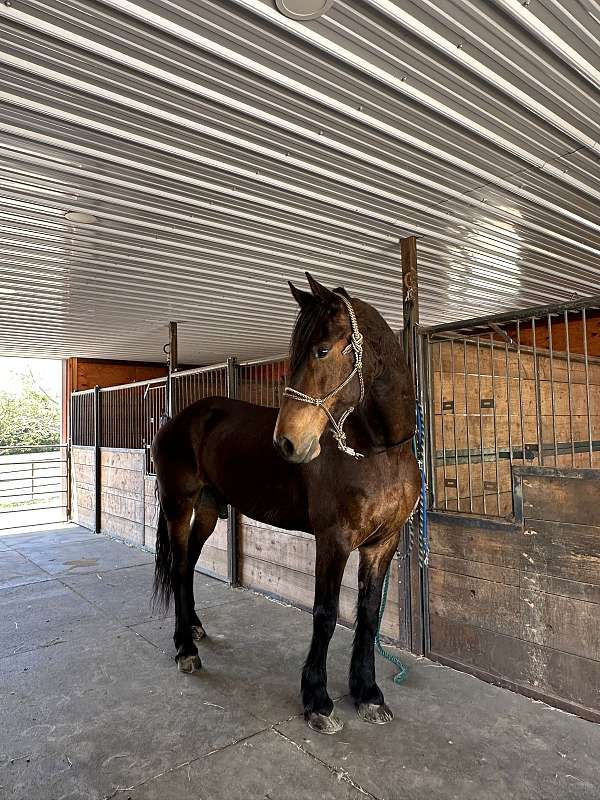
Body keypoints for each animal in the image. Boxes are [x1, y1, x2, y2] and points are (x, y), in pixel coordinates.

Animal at [152, 272, 420, 736]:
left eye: (322, 350)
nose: (287, 443)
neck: (380, 453)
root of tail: (180, 419)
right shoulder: (333, 541)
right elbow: (326, 614)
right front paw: (318, 701)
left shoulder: (382, 544)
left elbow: (368, 614)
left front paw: (368, 694)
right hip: (177, 506)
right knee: (179, 566)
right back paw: (185, 649)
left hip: (208, 511)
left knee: (187, 567)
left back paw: (195, 630)